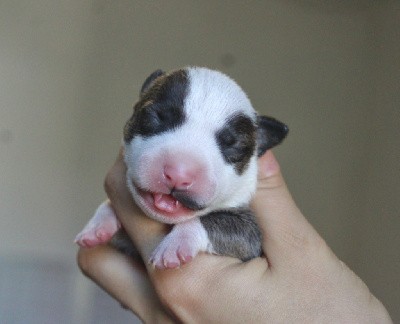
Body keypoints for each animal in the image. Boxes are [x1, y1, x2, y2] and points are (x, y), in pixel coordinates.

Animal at [76, 67, 288, 270]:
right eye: (157, 116)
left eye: (232, 145)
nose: (178, 175)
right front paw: (98, 224)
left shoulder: (252, 238)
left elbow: (215, 221)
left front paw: (175, 245)